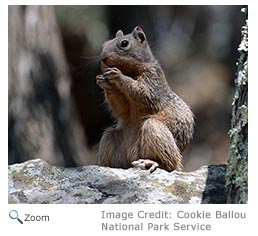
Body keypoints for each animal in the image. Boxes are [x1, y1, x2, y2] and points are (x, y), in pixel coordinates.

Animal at [96, 26, 194, 173]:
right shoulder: (125, 106)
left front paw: (118, 76)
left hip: (154, 129)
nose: (103, 58)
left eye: (124, 43)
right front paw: (103, 82)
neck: (130, 71)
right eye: (104, 43)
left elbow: (143, 93)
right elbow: (122, 108)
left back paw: (151, 162)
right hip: (109, 137)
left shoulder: (153, 81)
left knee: (170, 165)